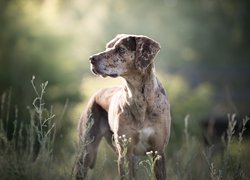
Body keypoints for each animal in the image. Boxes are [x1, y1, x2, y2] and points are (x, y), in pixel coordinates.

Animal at [75, 34, 171, 179]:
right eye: (107, 47)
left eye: (121, 49)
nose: (92, 59)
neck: (140, 100)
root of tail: (96, 93)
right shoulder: (125, 155)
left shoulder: (158, 152)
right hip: (87, 151)